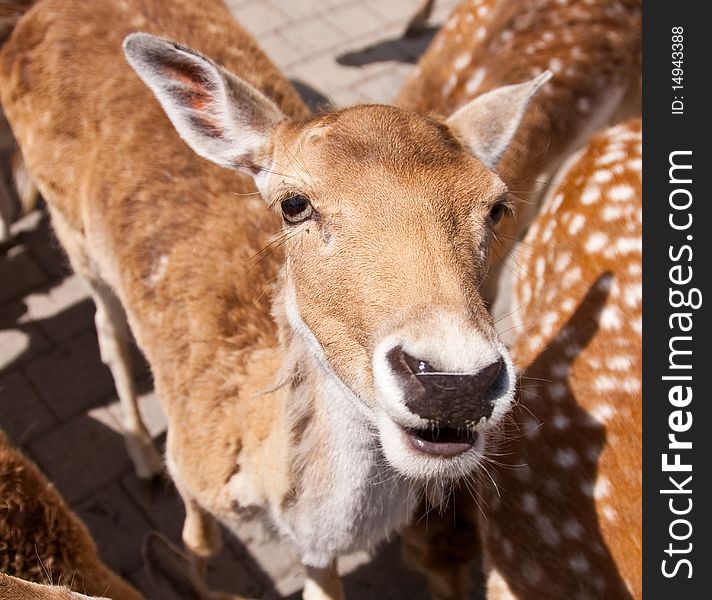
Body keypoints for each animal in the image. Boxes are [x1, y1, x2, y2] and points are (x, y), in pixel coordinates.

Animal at [0, 1, 552, 600]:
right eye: (294, 204)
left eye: (497, 206)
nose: (455, 383)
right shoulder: (189, 464)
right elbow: (197, 547)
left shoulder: (317, 552)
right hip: (73, 233)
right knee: (107, 328)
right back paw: (142, 456)